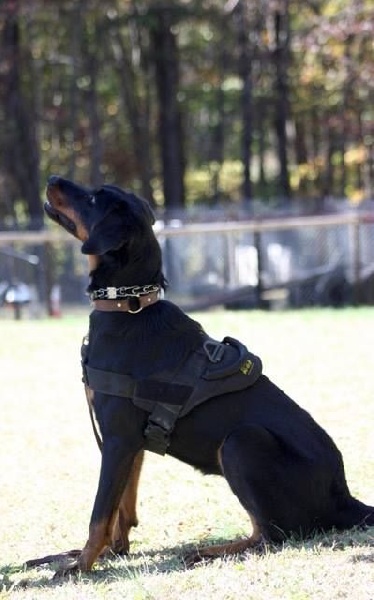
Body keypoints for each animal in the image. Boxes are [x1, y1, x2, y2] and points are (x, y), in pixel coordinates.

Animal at [39, 176, 372, 576]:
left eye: (91, 198)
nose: (53, 179)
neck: (128, 307)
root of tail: (344, 494)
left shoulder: (117, 438)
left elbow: (99, 514)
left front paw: (79, 566)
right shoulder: (131, 442)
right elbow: (122, 509)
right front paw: (109, 553)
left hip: (241, 442)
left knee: (271, 535)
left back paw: (208, 552)